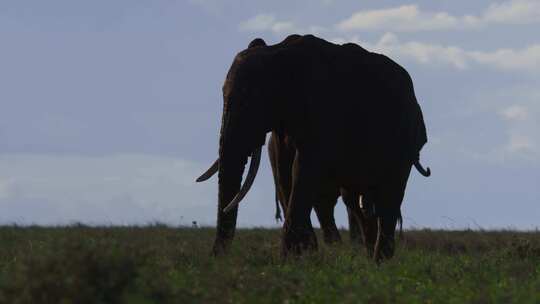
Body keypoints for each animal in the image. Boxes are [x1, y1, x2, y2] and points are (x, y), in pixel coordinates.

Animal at [196, 33, 428, 262]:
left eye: (250, 100)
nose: (216, 258)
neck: (278, 51)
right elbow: (286, 174)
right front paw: (302, 256)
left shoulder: (324, 111)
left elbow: (303, 171)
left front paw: (288, 260)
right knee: (355, 201)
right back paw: (368, 258)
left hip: (405, 140)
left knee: (388, 197)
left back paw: (380, 261)